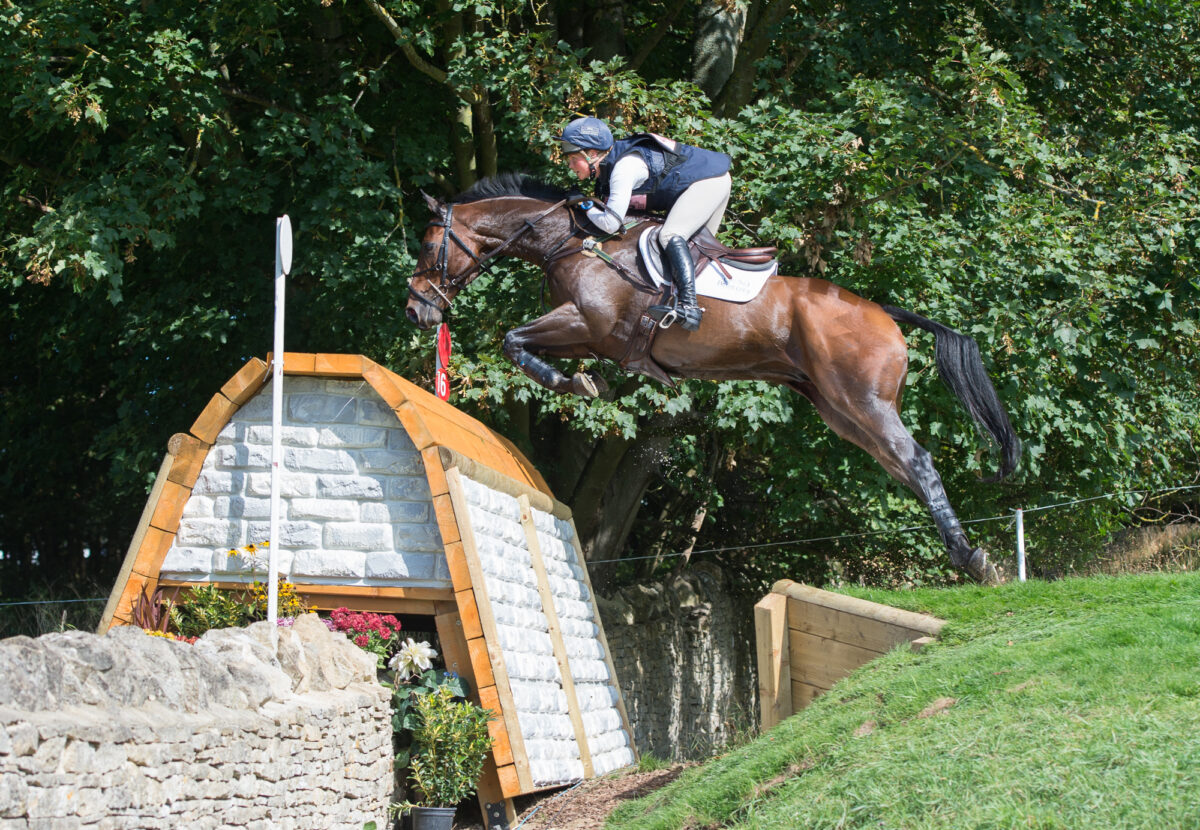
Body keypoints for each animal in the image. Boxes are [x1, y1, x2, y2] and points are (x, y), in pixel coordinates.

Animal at [405, 174, 1019, 584]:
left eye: (429, 245)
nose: (416, 311)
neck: (573, 242)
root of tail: (885, 313)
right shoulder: (590, 336)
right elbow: (520, 344)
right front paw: (577, 381)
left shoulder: (587, 324)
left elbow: (513, 339)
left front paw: (577, 385)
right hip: (839, 411)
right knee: (901, 464)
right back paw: (963, 551)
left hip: (862, 401)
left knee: (918, 461)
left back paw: (973, 560)